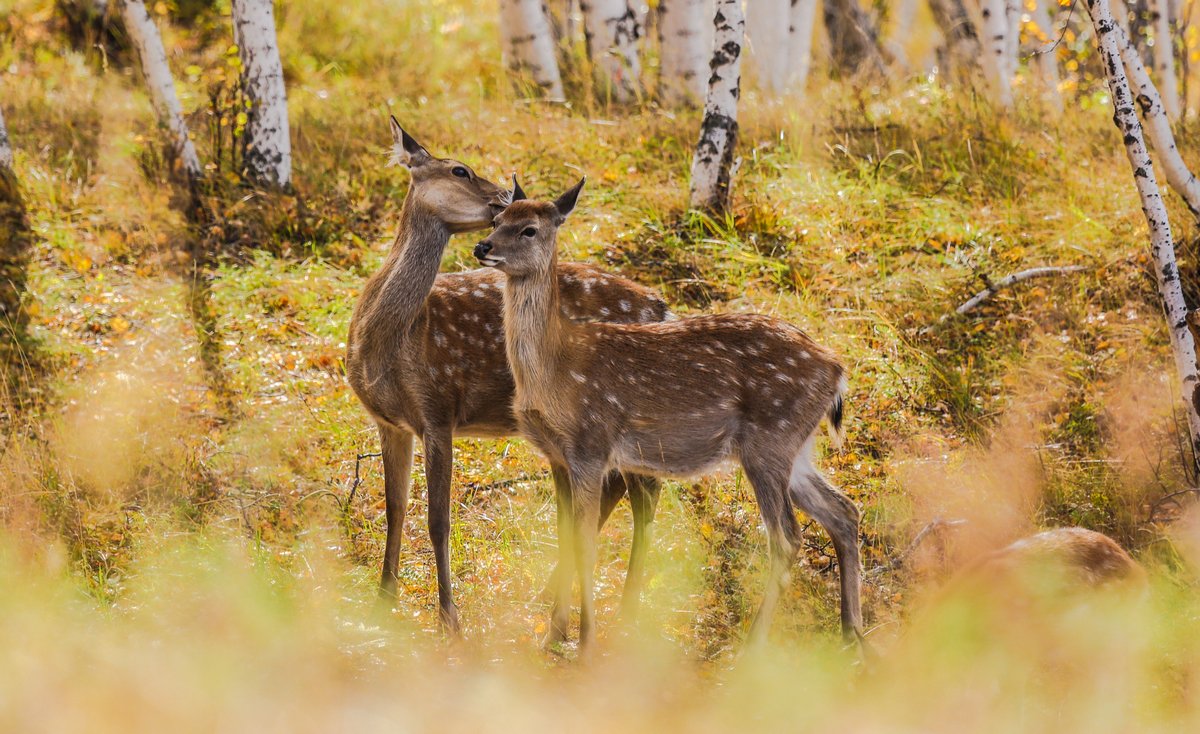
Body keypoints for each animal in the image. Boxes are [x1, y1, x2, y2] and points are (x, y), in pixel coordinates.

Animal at [343, 117, 672, 633]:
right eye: (460, 169)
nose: (502, 198)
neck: (391, 341)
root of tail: (660, 306)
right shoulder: (390, 421)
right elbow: (395, 509)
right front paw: (383, 601)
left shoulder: (439, 408)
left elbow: (438, 520)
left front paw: (449, 617)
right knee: (618, 488)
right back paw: (553, 595)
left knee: (644, 494)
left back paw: (623, 608)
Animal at [472, 181, 859, 652]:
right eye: (496, 219)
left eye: (528, 229)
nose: (482, 246)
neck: (556, 368)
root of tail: (837, 370)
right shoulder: (558, 456)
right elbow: (565, 541)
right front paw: (553, 637)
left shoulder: (592, 445)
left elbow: (585, 545)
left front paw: (584, 643)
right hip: (795, 447)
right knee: (843, 510)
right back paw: (853, 633)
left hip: (770, 440)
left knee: (786, 538)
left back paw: (753, 646)